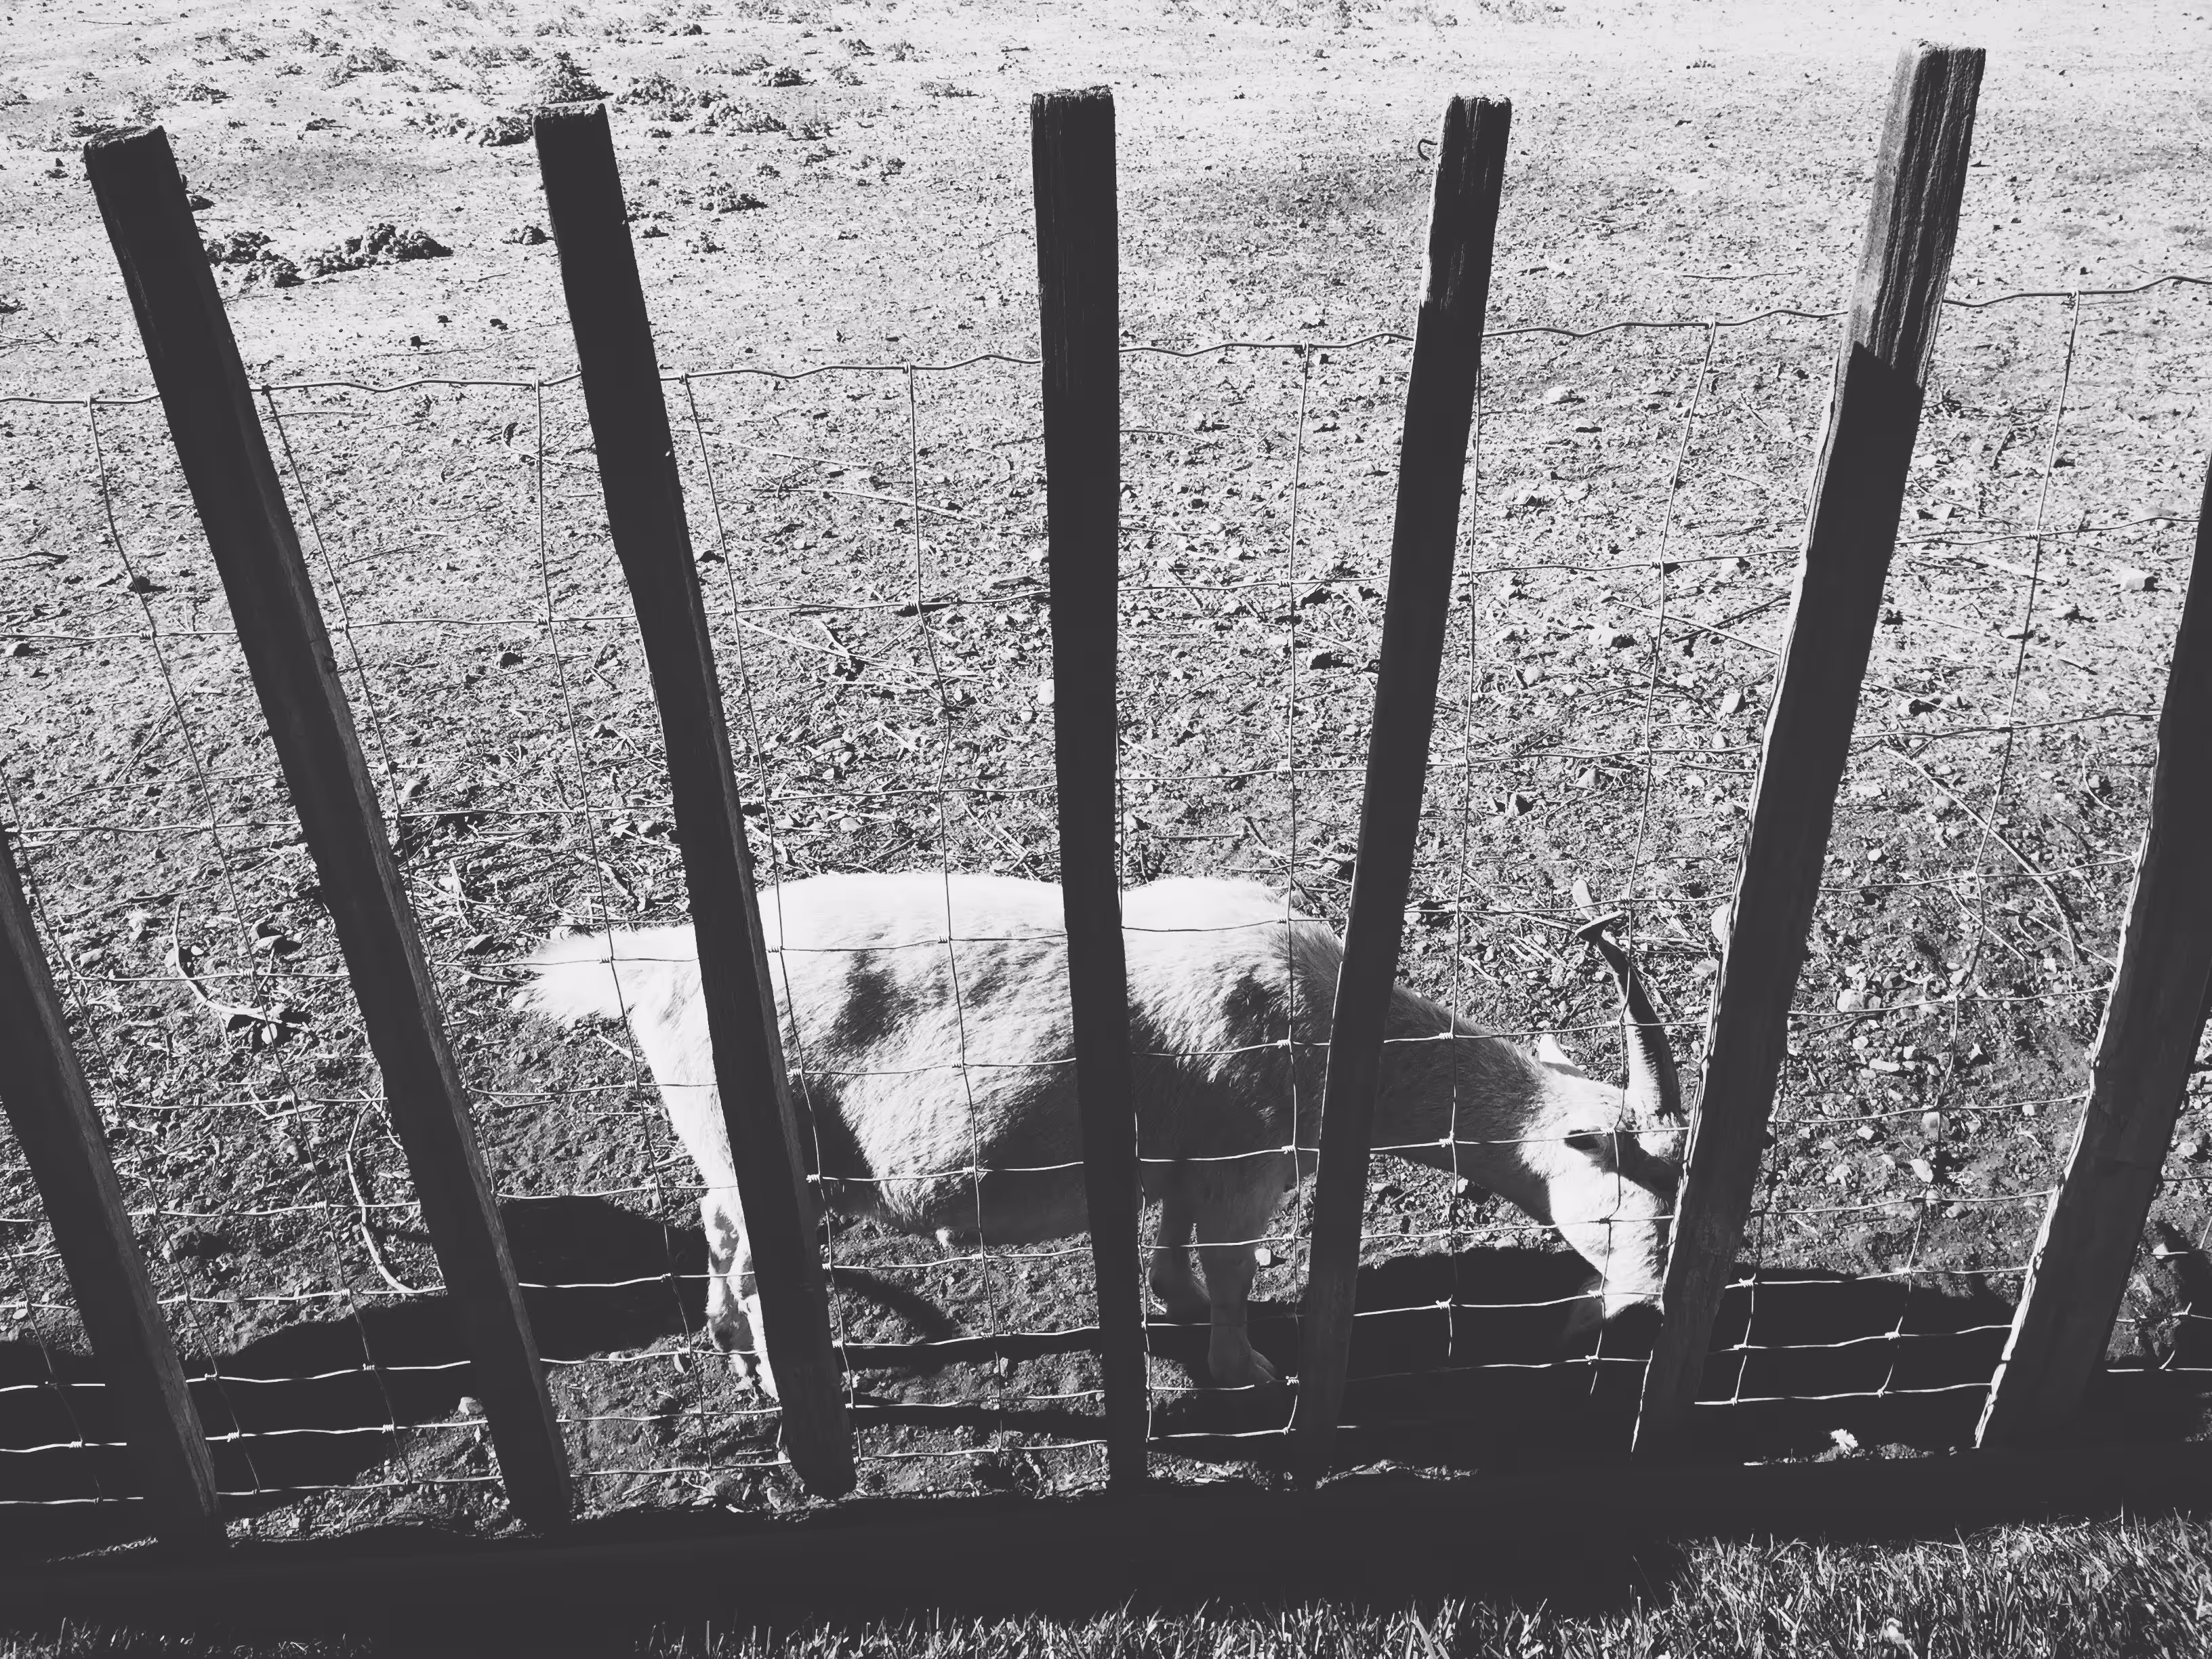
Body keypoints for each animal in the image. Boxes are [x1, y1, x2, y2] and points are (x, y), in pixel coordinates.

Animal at [516, 872, 1683, 1395]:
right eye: (1626, 1174)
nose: (1644, 1311)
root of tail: (653, 966)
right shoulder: (1245, 1165)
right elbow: (1234, 1269)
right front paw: (1249, 1367)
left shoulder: (1187, 1158)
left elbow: (1174, 1244)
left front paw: (1177, 1307)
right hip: (767, 1143)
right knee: (751, 1252)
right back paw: (772, 1373)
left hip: (725, 1143)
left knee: (717, 1230)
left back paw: (724, 1341)